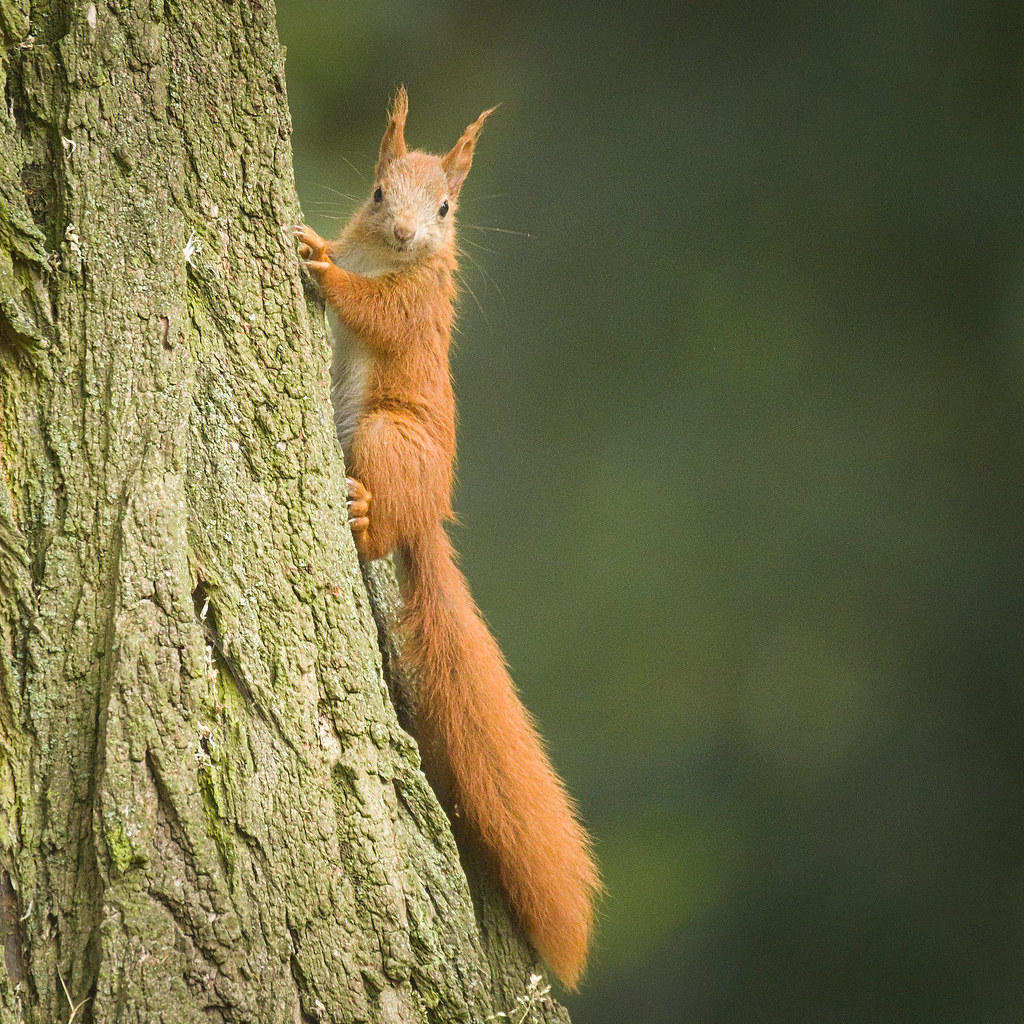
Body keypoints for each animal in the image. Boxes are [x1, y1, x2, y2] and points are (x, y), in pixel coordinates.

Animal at [294, 88, 598, 989]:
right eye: (378, 190)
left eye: (445, 209)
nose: (405, 235)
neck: (384, 260)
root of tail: (427, 514)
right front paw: (326, 247)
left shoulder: (416, 309)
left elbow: (373, 311)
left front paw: (319, 265)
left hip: (386, 439)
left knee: (378, 531)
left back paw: (364, 515)